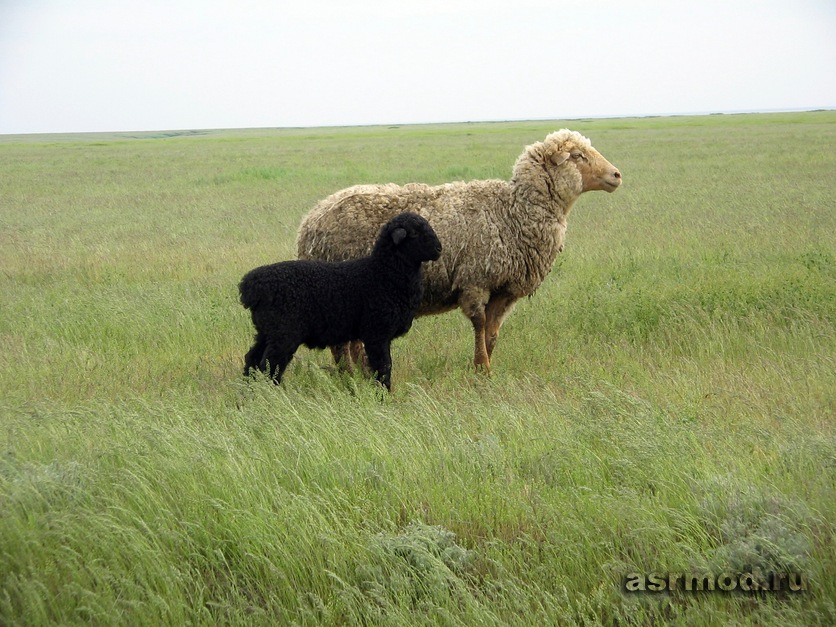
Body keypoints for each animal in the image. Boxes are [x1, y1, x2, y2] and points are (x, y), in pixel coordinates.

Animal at [238, 213, 440, 390]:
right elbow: (383, 367)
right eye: (414, 233)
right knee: (269, 366)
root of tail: (251, 284)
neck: (382, 272)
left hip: (266, 331)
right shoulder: (376, 333)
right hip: (283, 333)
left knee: (251, 360)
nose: (439, 249)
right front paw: (383, 394)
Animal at [296, 129, 620, 370]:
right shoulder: (475, 280)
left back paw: (359, 372)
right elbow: (479, 325)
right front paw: (481, 367)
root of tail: (309, 221)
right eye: (577, 156)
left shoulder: (503, 290)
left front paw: (484, 368)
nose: (616, 175)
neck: (512, 212)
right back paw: (350, 375)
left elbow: (492, 332)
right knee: (340, 344)